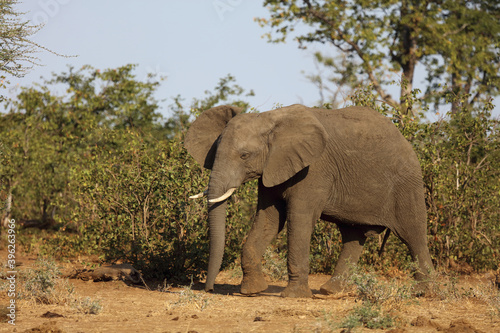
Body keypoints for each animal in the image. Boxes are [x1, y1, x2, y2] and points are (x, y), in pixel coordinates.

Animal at [184, 103, 434, 296]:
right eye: (214, 153)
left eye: (244, 155)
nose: (209, 289)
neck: (270, 120)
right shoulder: (272, 169)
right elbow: (269, 220)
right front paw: (252, 291)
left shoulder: (313, 170)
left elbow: (299, 219)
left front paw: (293, 296)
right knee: (352, 236)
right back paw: (331, 291)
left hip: (406, 183)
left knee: (413, 233)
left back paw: (427, 292)